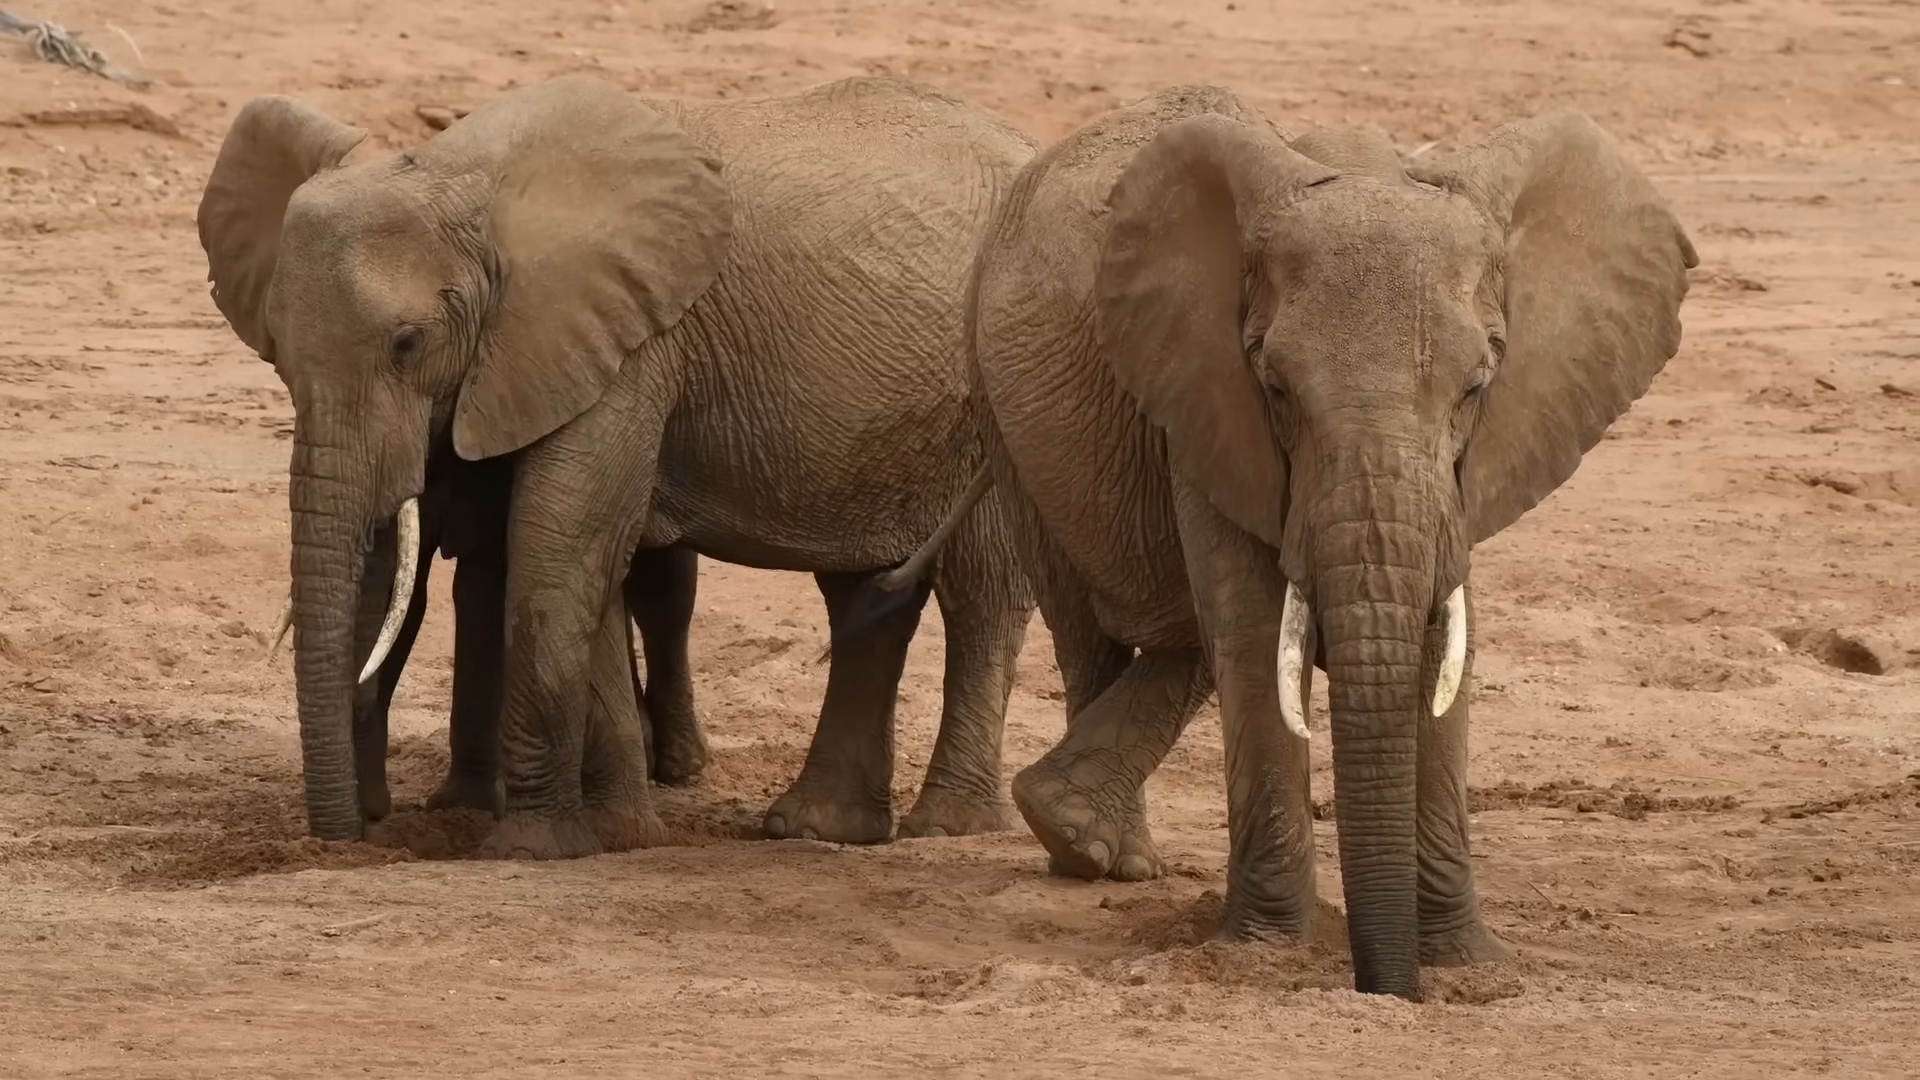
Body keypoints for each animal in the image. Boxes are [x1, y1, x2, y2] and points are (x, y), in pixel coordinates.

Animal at [196, 71, 1044, 853]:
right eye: (276, 352)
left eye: (408, 344)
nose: (340, 841)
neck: (463, 178)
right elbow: (584, 565)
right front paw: (617, 837)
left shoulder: (629, 344)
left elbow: (559, 554)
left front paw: (532, 849)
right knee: (863, 594)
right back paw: (815, 829)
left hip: (1004, 393)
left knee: (983, 594)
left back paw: (947, 826)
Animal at [848, 84, 1704, 991]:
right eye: (1276, 386)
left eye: (1477, 386)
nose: (1384, 986)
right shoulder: (1204, 393)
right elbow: (1258, 632)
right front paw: (1267, 950)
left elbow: (1443, 640)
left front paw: (1464, 963)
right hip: (1006, 411)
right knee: (1095, 627)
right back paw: (1094, 854)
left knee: (1183, 640)